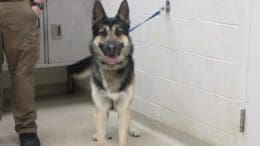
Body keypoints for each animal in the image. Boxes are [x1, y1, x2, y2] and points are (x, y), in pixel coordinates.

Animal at [67, 0, 140, 145]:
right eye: (102, 32)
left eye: (119, 32)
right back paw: (99, 134)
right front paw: (100, 136)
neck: (111, 69)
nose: (111, 48)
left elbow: (123, 136)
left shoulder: (124, 108)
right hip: (98, 109)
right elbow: (101, 135)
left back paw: (132, 129)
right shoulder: (100, 108)